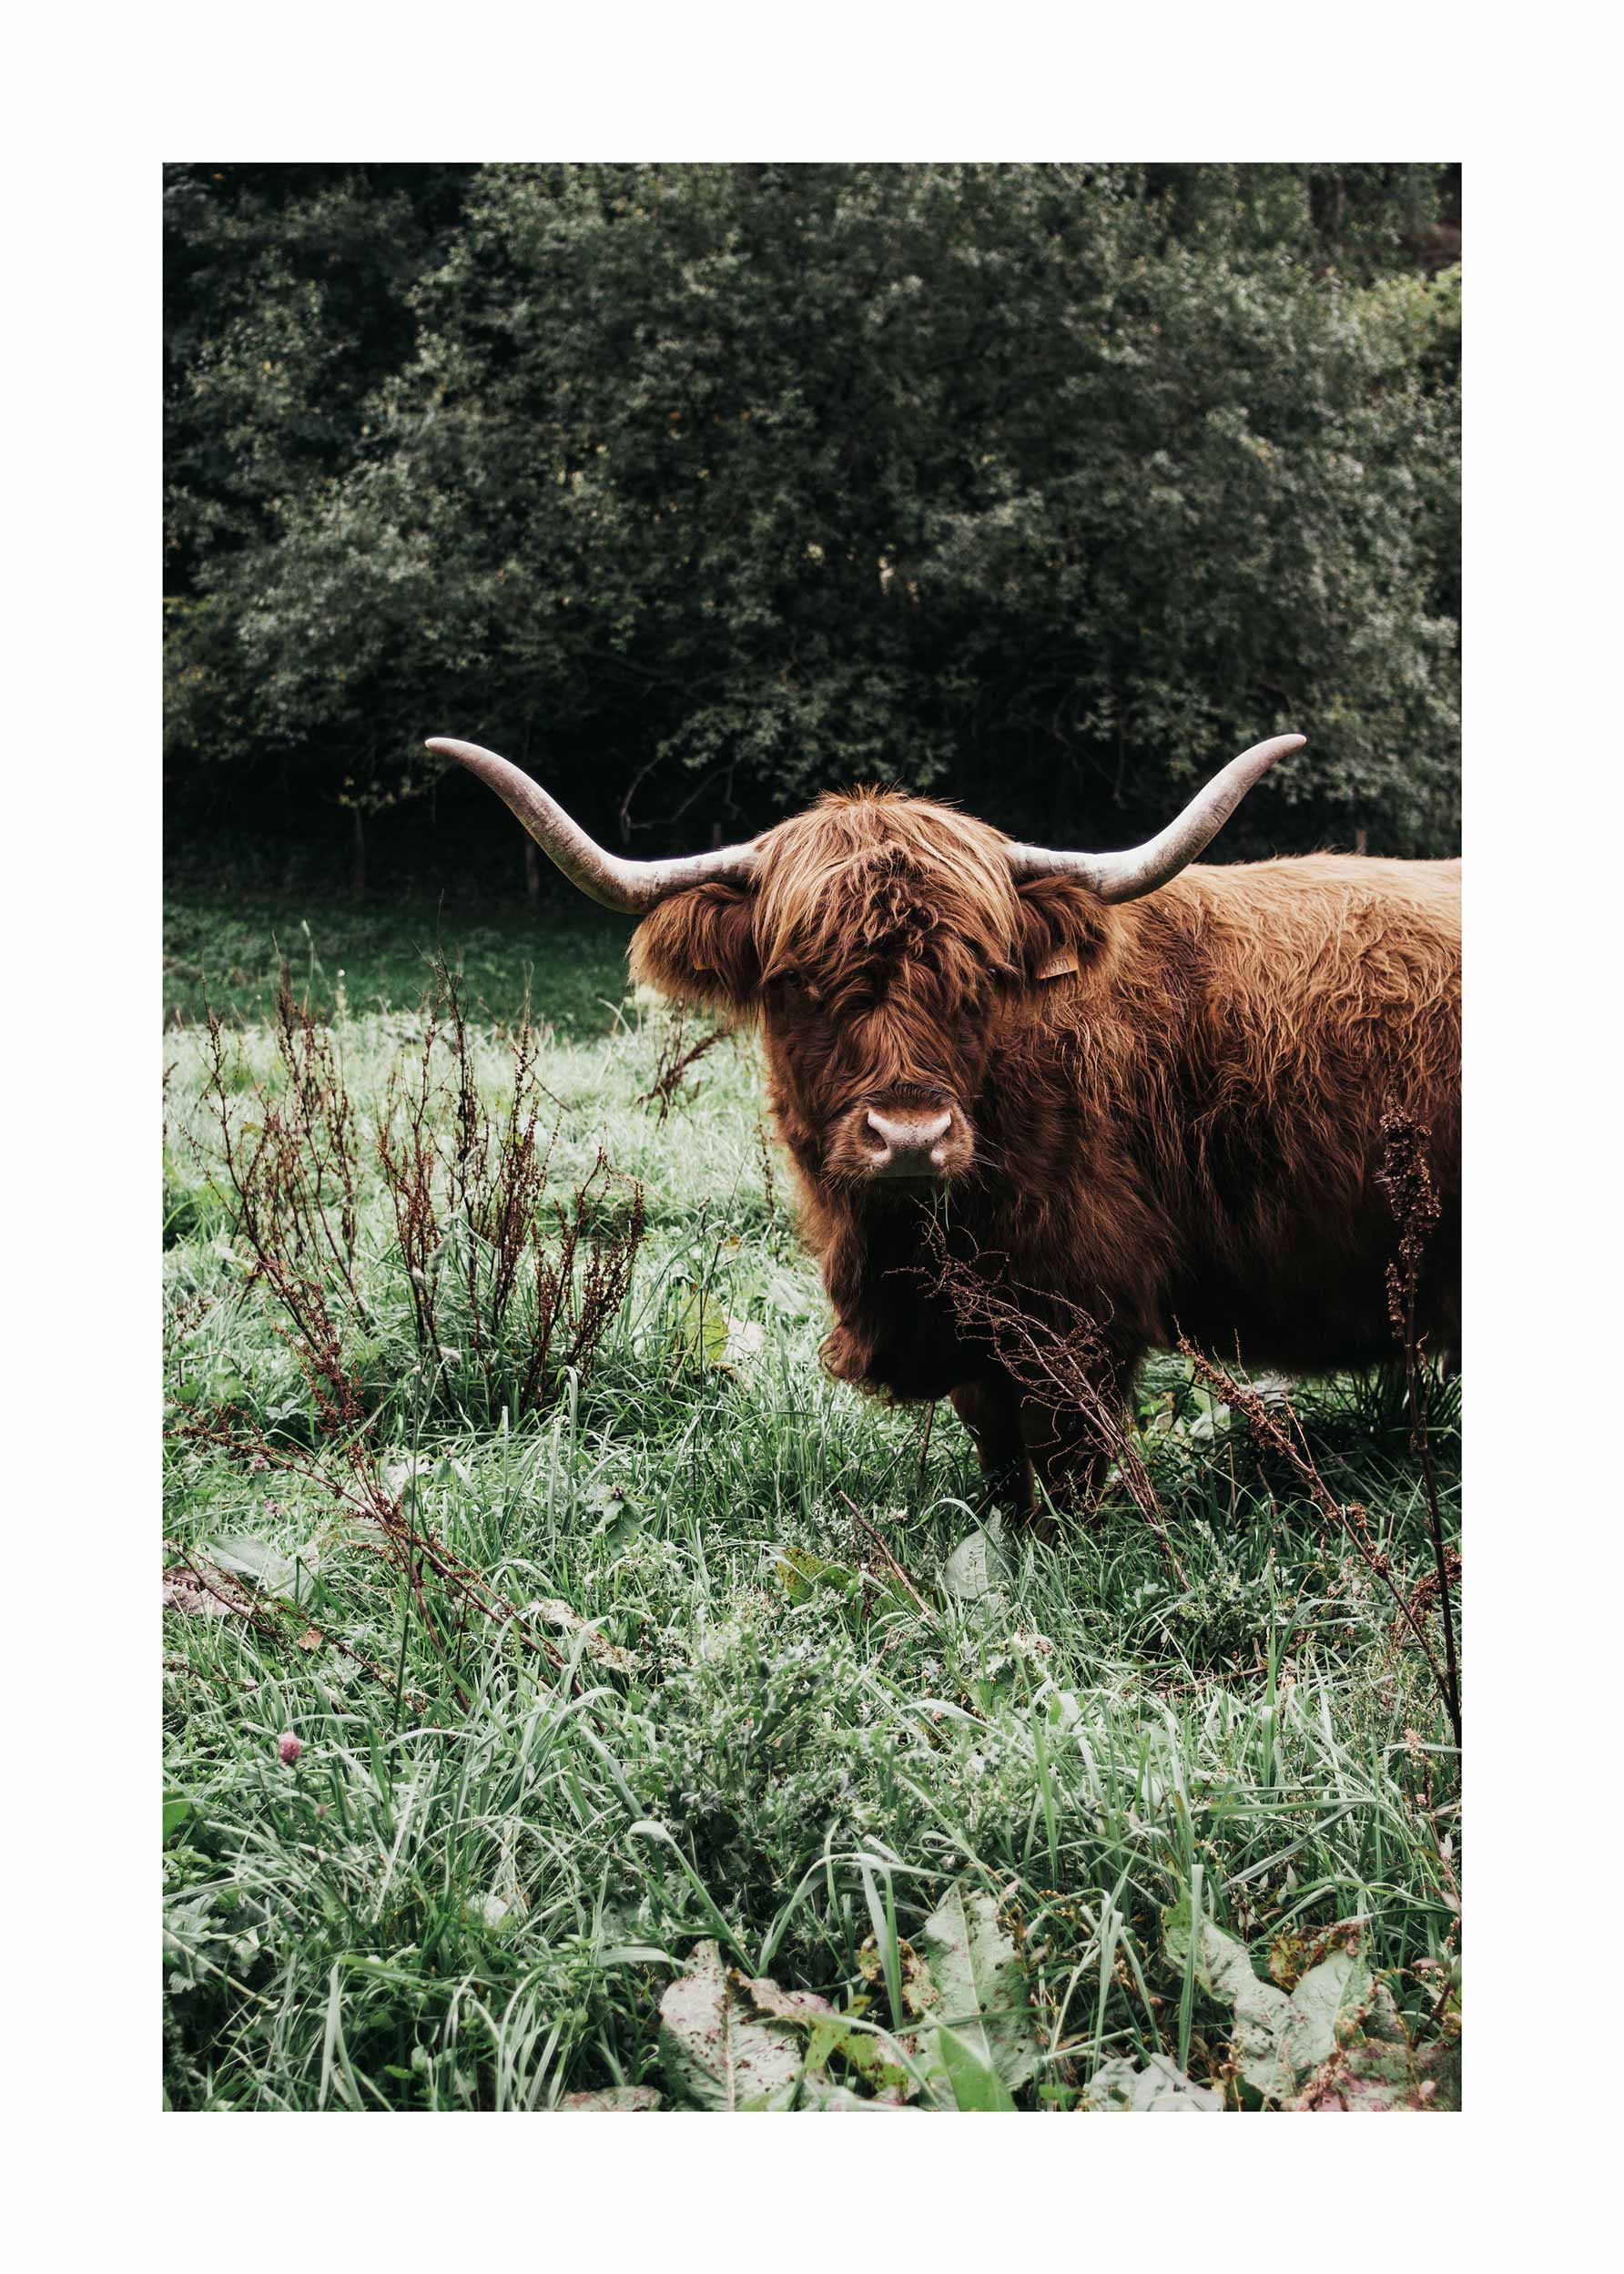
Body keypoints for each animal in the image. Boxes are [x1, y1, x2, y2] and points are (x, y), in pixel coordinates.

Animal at [431, 733, 1461, 1514]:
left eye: (977, 979)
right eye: (798, 983)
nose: (910, 1137)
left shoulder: (1078, 1315)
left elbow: (1066, 1467)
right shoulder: (975, 1333)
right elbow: (998, 1453)